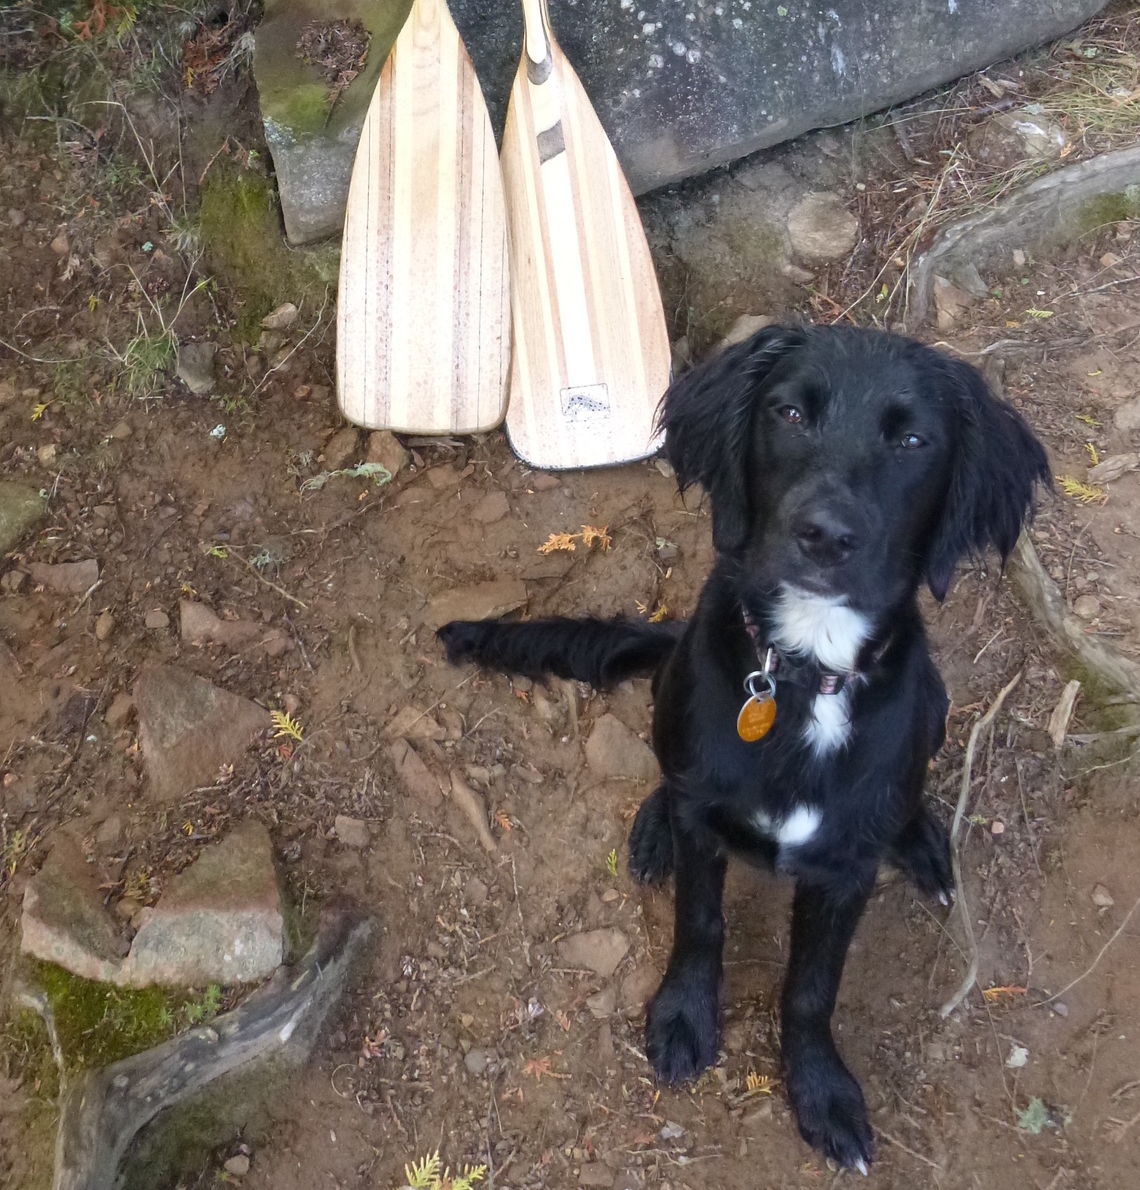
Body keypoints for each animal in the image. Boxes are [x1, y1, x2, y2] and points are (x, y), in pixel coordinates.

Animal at [440, 326, 1051, 1170]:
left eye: (914, 441)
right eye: (789, 412)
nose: (824, 536)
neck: (801, 673)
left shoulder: (843, 872)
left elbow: (812, 987)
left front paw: (822, 1089)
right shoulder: (706, 822)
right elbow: (700, 922)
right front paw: (684, 1016)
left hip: (933, 704)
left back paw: (922, 838)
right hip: (673, 695)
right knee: (668, 778)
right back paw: (654, 828)